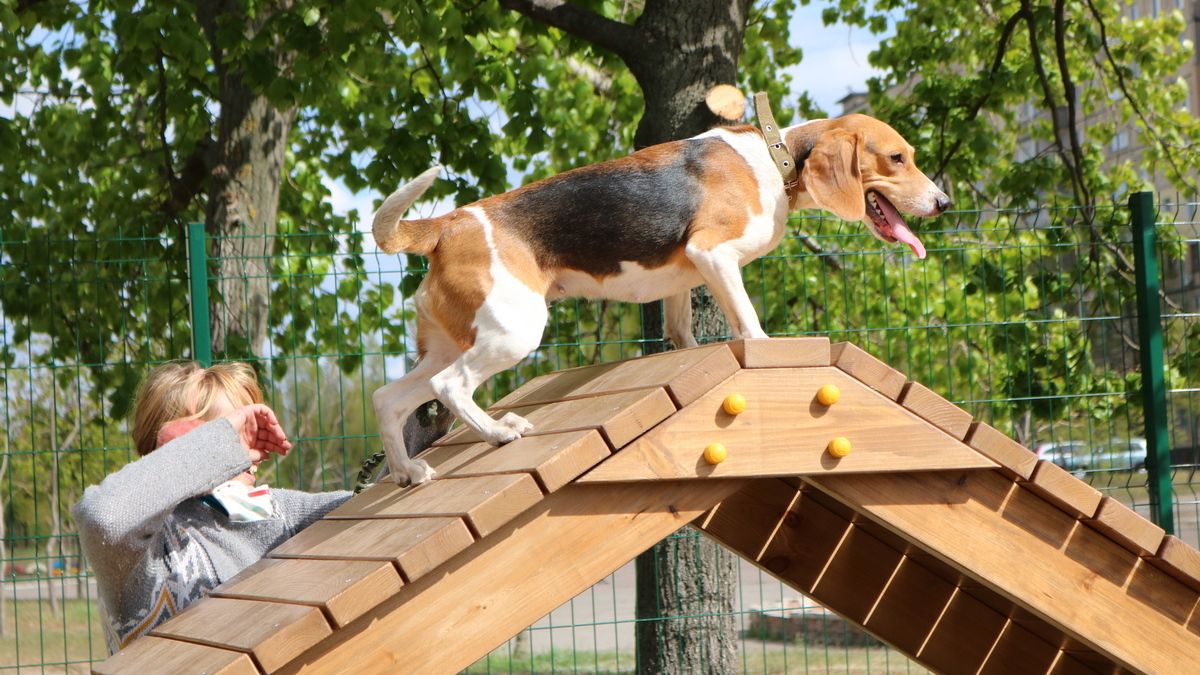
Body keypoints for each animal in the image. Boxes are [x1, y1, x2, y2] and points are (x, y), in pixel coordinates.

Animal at [369, 112, 950, 480]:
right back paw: (497, 432)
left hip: (450, 342)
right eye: (897, 158)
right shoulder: (714, 253)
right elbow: (750, 323)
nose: (944, 202)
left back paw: (406, 470)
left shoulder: (686, 280)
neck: (775, 157)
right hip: (513, 331)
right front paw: (767, 351)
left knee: (388, 399)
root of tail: (447, 224)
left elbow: (682, 334)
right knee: (450, 386)